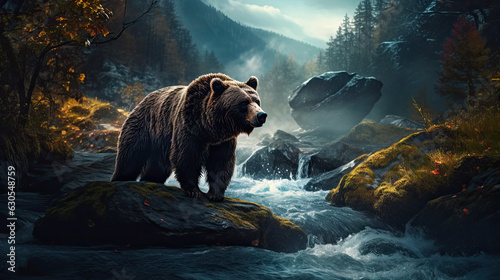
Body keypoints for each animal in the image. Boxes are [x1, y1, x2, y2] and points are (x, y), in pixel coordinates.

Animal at [109, 73, 266, 200]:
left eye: (257, 101)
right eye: (244, 102)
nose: (261, 115)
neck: (211, 128)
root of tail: (142, 101)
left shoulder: (222, 142)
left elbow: (221, 162)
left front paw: (215, 194)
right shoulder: (190, 129)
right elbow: (186, 156)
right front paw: (194, 191)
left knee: (157, 166)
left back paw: (149, 179)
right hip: (143, 127)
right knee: (130, 158)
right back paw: (119, 178)